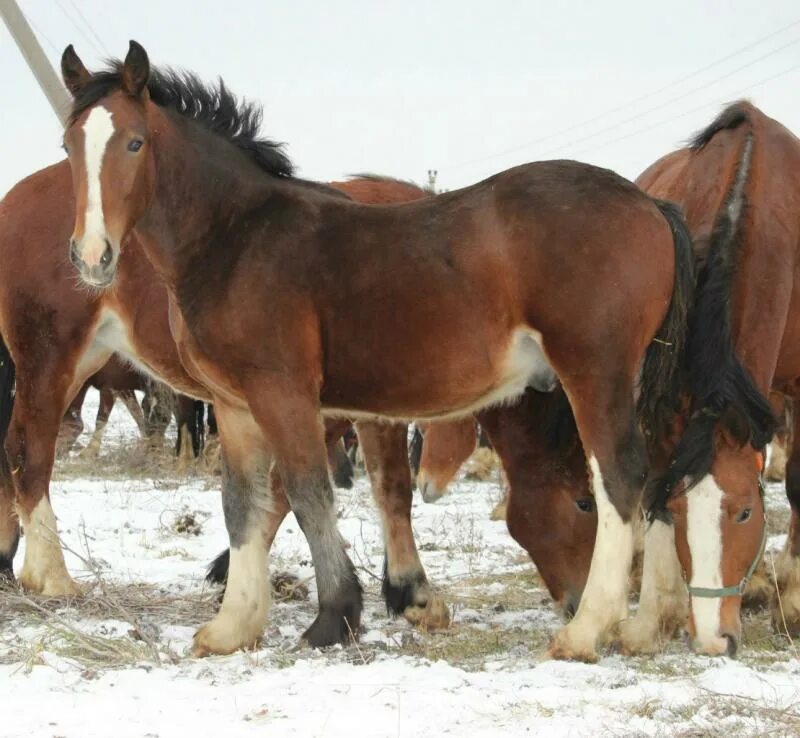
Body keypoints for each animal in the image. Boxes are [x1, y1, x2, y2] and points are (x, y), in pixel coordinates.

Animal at [59, 43, 692, 660]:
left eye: (135, 142)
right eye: (67, 146)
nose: (92, 256)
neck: (236, 237)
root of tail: (648, 204)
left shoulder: (283, 393)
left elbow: (309, 493)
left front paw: (334, 618)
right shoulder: (235, 407)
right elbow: (242, 503)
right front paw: (233, 626)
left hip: (594, 370)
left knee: (621, 476)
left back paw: (587, 632)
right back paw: (644, 624)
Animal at [620, 99, 796, 656]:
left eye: (744, 513)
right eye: (679, 513)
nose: (714, 640)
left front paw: (791, 602)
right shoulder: (661, 393)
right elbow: (655, 483)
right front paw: (653, 616)